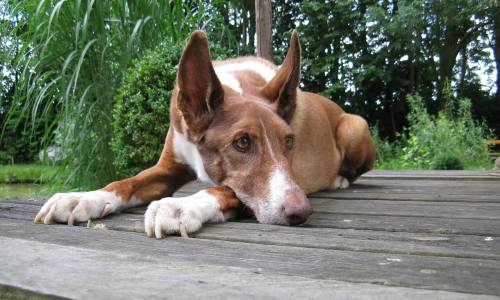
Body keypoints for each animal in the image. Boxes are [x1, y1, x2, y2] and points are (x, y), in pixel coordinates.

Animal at [34, 29, 376, 237]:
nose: (301, 212)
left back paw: (340, 179)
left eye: (290, 141)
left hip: (355, 126)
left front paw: (180, 206)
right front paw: (82, 198)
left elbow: (226, 189)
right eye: (242, 142)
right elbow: (126, 182)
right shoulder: (168, 166)